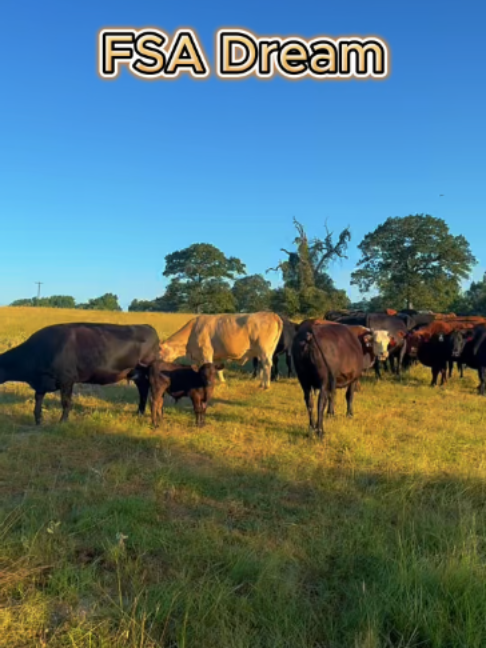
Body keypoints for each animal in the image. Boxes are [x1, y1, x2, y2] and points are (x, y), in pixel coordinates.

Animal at [0, 323, 160, 424]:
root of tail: (146, 326)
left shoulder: (67, 379)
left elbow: (66, 402)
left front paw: (62, 422)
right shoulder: (41, 383)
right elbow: (38, 401)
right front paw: (38, 421)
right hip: (137, 374)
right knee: (143, 390)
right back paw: (139, 413)